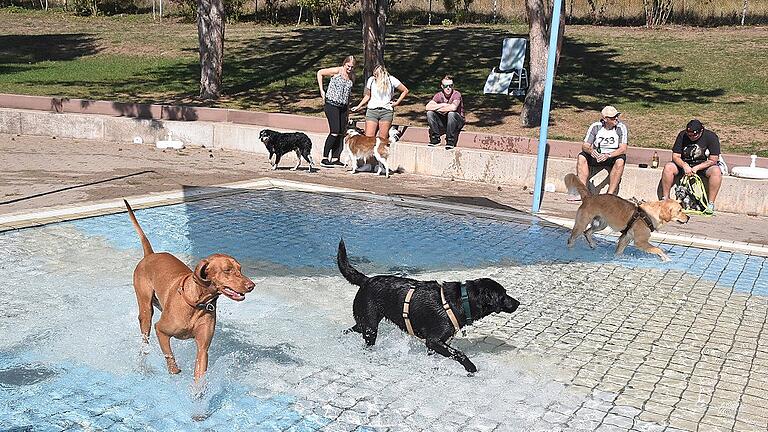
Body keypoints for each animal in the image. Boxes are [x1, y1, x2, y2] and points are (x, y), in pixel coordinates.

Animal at [123, 199, 255, 382]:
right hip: (146, 312)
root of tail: (150, 255)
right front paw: (173, 370)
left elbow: (199, 374)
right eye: (227, 270)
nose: (251, 285)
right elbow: (169, 356)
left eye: (240, 269)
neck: (197, 303)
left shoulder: (203, 348)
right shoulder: (160, 329)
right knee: (145, 336)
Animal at [338, 238, 520, 372]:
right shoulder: (433, 341)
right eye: (503, 295)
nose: (518, 303)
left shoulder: (435, 345)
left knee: (350, 330)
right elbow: (458, 353)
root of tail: (366, 280)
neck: (462, 301)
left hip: (364, 322)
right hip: (370, 326)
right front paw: (471, 368)